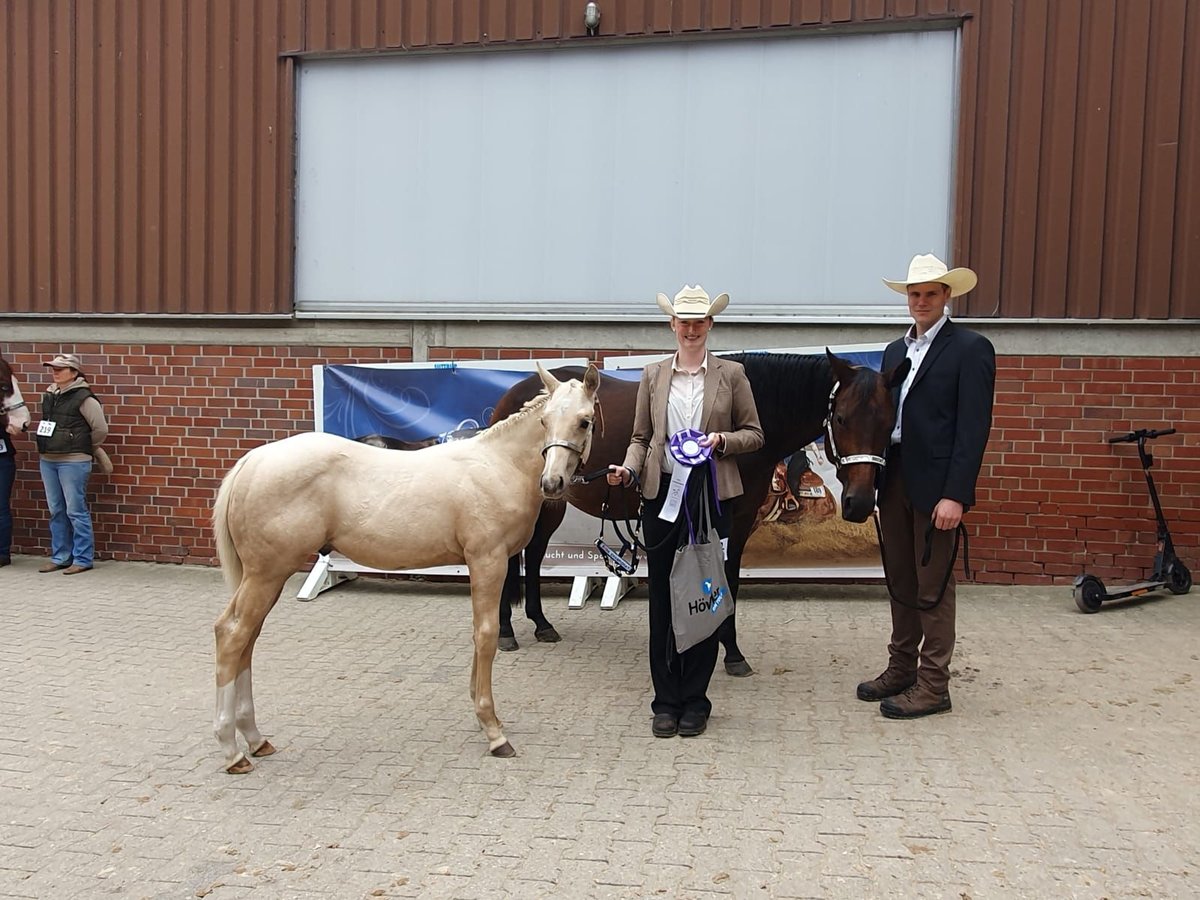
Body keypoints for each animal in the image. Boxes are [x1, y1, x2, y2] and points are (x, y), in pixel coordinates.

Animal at [210, 364, 600, 774]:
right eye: (544, 421)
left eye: (584, 421)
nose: (552, 483)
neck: (497, 467)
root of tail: (251, 462)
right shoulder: (488, 561)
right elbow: (487, 635)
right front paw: (494, 731)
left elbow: (478, 634)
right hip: (266, 575)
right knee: (233, 635)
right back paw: (233, 750)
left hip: (263, 577)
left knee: (245, 638)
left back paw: (255, 739)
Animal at [490, 349, 911, 675]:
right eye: (841, 419)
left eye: (889, 422)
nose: (860, 502)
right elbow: (724, 579)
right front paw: (728, 651)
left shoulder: (740, 520)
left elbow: (729, 580)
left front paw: (725, 649)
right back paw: (506, 632)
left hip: (552, 499)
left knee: (536, 553)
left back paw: (541, 624)